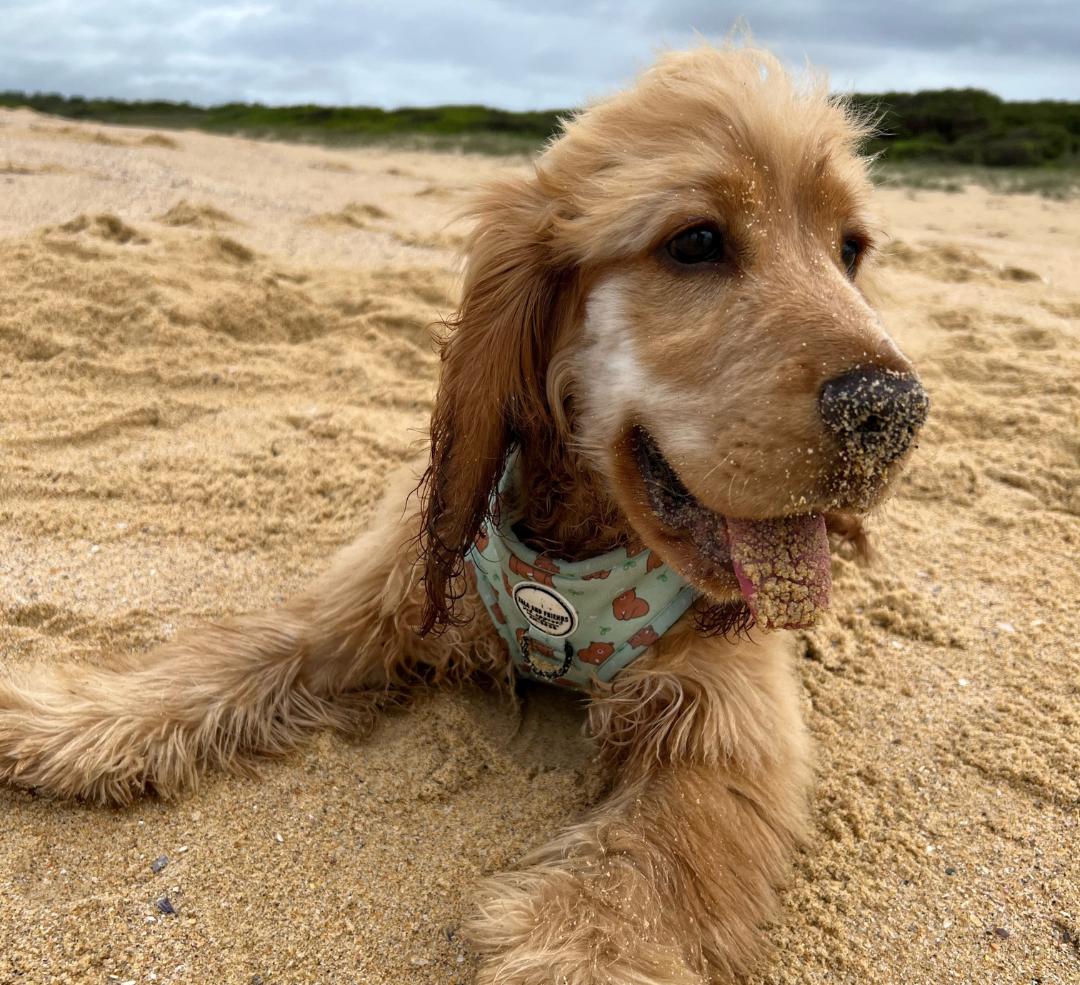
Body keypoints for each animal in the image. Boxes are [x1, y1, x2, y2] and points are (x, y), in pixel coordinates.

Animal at [0, 46, 928, 985]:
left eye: (850, 250)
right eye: (696, 241)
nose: (893, 410)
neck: (581, 544)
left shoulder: (731, 721)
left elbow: (658, 857)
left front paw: (580, 951)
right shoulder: (382, 585)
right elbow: (235, 653)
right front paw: (72, 722)